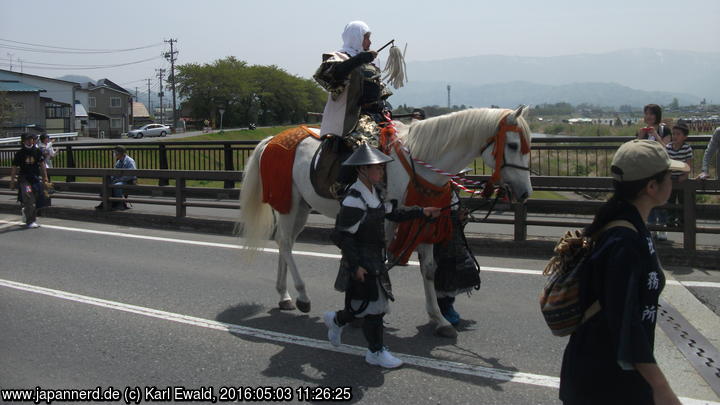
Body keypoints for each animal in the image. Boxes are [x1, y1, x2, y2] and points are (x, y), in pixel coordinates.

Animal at [239, 105, 532, 336]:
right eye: (513, 145)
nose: (525, 193)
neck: (421, 164)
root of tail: (272, 139)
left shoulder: (427, 221)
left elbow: (428, 270)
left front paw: (439, 319)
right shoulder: (387, 222)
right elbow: (378, 264)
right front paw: (368, 312)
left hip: (300, 206)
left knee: (283, 243)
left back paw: (284, 296)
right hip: (289, 204)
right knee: (286, 243)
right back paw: (301, 295)